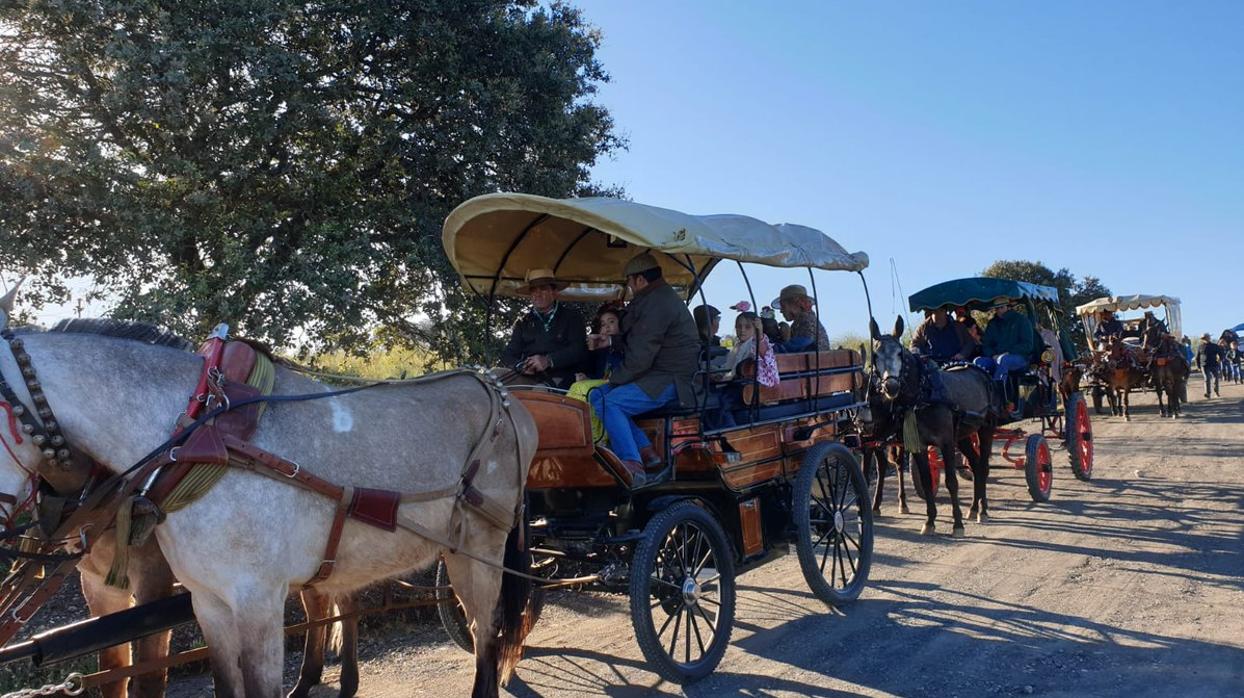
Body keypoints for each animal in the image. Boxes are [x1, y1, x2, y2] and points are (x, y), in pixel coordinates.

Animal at [0, 288, 539, 696]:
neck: (202, 438)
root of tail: (502, 394)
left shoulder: (256, 600)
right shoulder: (207, 600)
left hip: (480, 549)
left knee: (485, 632)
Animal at [875, 316, 1000, 532]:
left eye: (900, 353)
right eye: (875, 355)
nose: (890, 386)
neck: (923, 396)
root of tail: (981, 372)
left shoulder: (946, 442)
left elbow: (951, 481)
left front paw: (957, 524)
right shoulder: (918, 445)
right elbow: (926, 481)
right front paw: (930, 521)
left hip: (985, 429)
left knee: (983, 467)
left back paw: (983, 511)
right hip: (963, 436)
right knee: (975, 465)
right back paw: (973, 508)